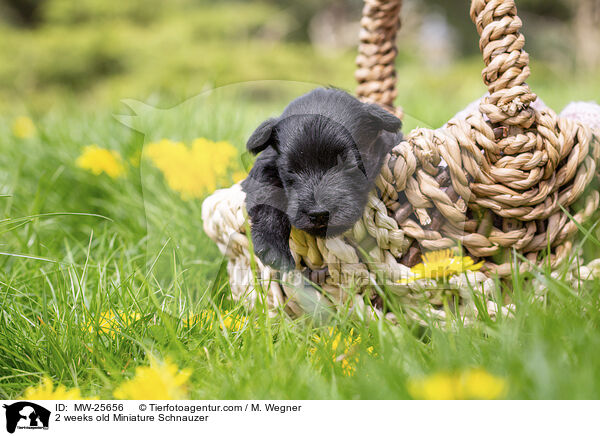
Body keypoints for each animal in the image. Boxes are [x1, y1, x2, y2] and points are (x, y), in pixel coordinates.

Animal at [240, 88, 404, 270]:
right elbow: (268, 195)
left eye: (349, 164)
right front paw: (272, 245)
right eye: (290, 170)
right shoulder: (266, 166)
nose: (318, 214)